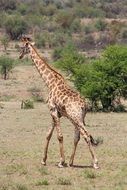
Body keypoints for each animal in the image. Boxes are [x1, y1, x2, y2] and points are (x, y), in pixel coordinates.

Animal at [18, 36, 98, 168]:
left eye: (21, 47)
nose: (19, 56)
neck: (49, 82)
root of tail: (84, 105)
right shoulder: (56, 113)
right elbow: (48, 135)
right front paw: (43, 160)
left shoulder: (53, 110)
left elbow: (59, 136)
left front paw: (61, 161)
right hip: (78, 117)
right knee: (78, 136)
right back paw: (71, 162)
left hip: (75, 117)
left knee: (86, 135)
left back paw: (95, 162)